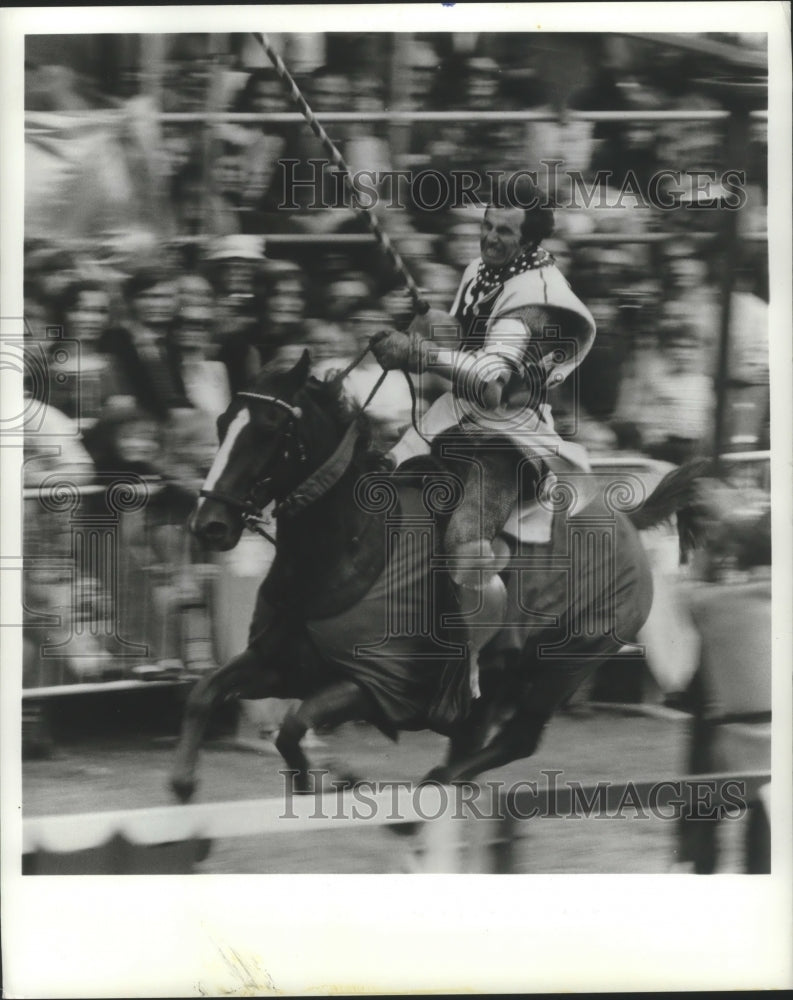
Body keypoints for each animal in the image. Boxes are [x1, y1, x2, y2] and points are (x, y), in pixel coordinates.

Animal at [170, 348, 704, 800]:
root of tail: (629, 522)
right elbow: (204, 693)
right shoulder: (279, 661)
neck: (353, 548)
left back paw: (439, 781)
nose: (209, 524)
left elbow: (295, 724)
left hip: (561, 668)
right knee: (481, 736)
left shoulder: (374, 685)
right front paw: (184, 783)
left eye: (271, 426)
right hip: (499, 684)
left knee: (519, 740)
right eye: (223, 422)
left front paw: (332, 778)